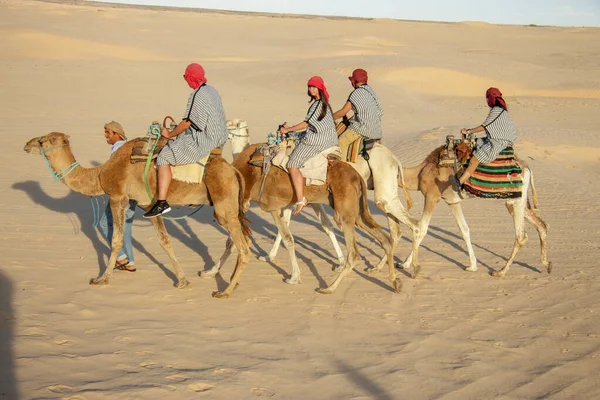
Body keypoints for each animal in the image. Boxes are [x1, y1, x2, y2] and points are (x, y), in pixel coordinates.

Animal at [24, 131, 250, 296]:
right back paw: (226, 280)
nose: (26, 144)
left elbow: (115, 240)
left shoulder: (117, 197)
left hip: (224, 206)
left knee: (243, 247)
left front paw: (101, 278)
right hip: (227, 209)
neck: (99, 175)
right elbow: (164, 241)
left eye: (42, 141)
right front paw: (182, 280)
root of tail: (233, 170)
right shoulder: (149, 204)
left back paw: (225, 291)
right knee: (239, 240)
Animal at [202, 144, 404, 294]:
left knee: (354, 252)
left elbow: (288, 238)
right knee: (385, 239)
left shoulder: (272, 206)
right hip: (358, 212)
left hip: (345, 212)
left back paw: (329, 288)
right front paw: (210, 271)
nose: (214, 215)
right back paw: (394, 281)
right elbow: (232, 242)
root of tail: (357, 177)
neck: (246, 171)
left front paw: (294, 277)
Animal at [225, 130, 418, 270]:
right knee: (395, 230)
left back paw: (408, 264)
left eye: (234, 124)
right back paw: (379, 266)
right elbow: (309, 226)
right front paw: (268, 256)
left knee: (414, 224)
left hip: (381, 192)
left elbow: (319, 226)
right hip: (384, 194)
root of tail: (394, 159)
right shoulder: (300, 200)